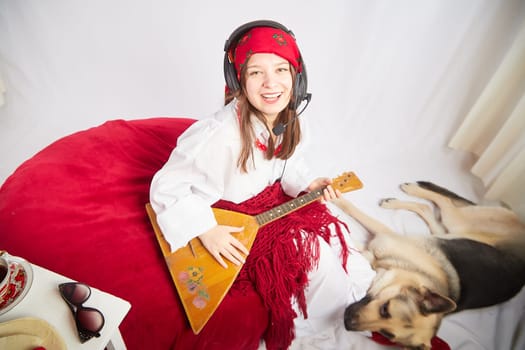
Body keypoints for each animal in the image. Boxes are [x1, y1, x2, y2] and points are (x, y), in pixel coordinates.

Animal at [332, 182, 524, 348]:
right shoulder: (383, 235)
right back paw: (408, 192)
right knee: (442, 203)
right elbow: (353, 212)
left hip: (450, 231)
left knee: (429, 211)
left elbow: (351, 245)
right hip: (457, 221)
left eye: (386, 334)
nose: (346, 322)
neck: (416, 271)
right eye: (386, 309)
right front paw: (335, 198)